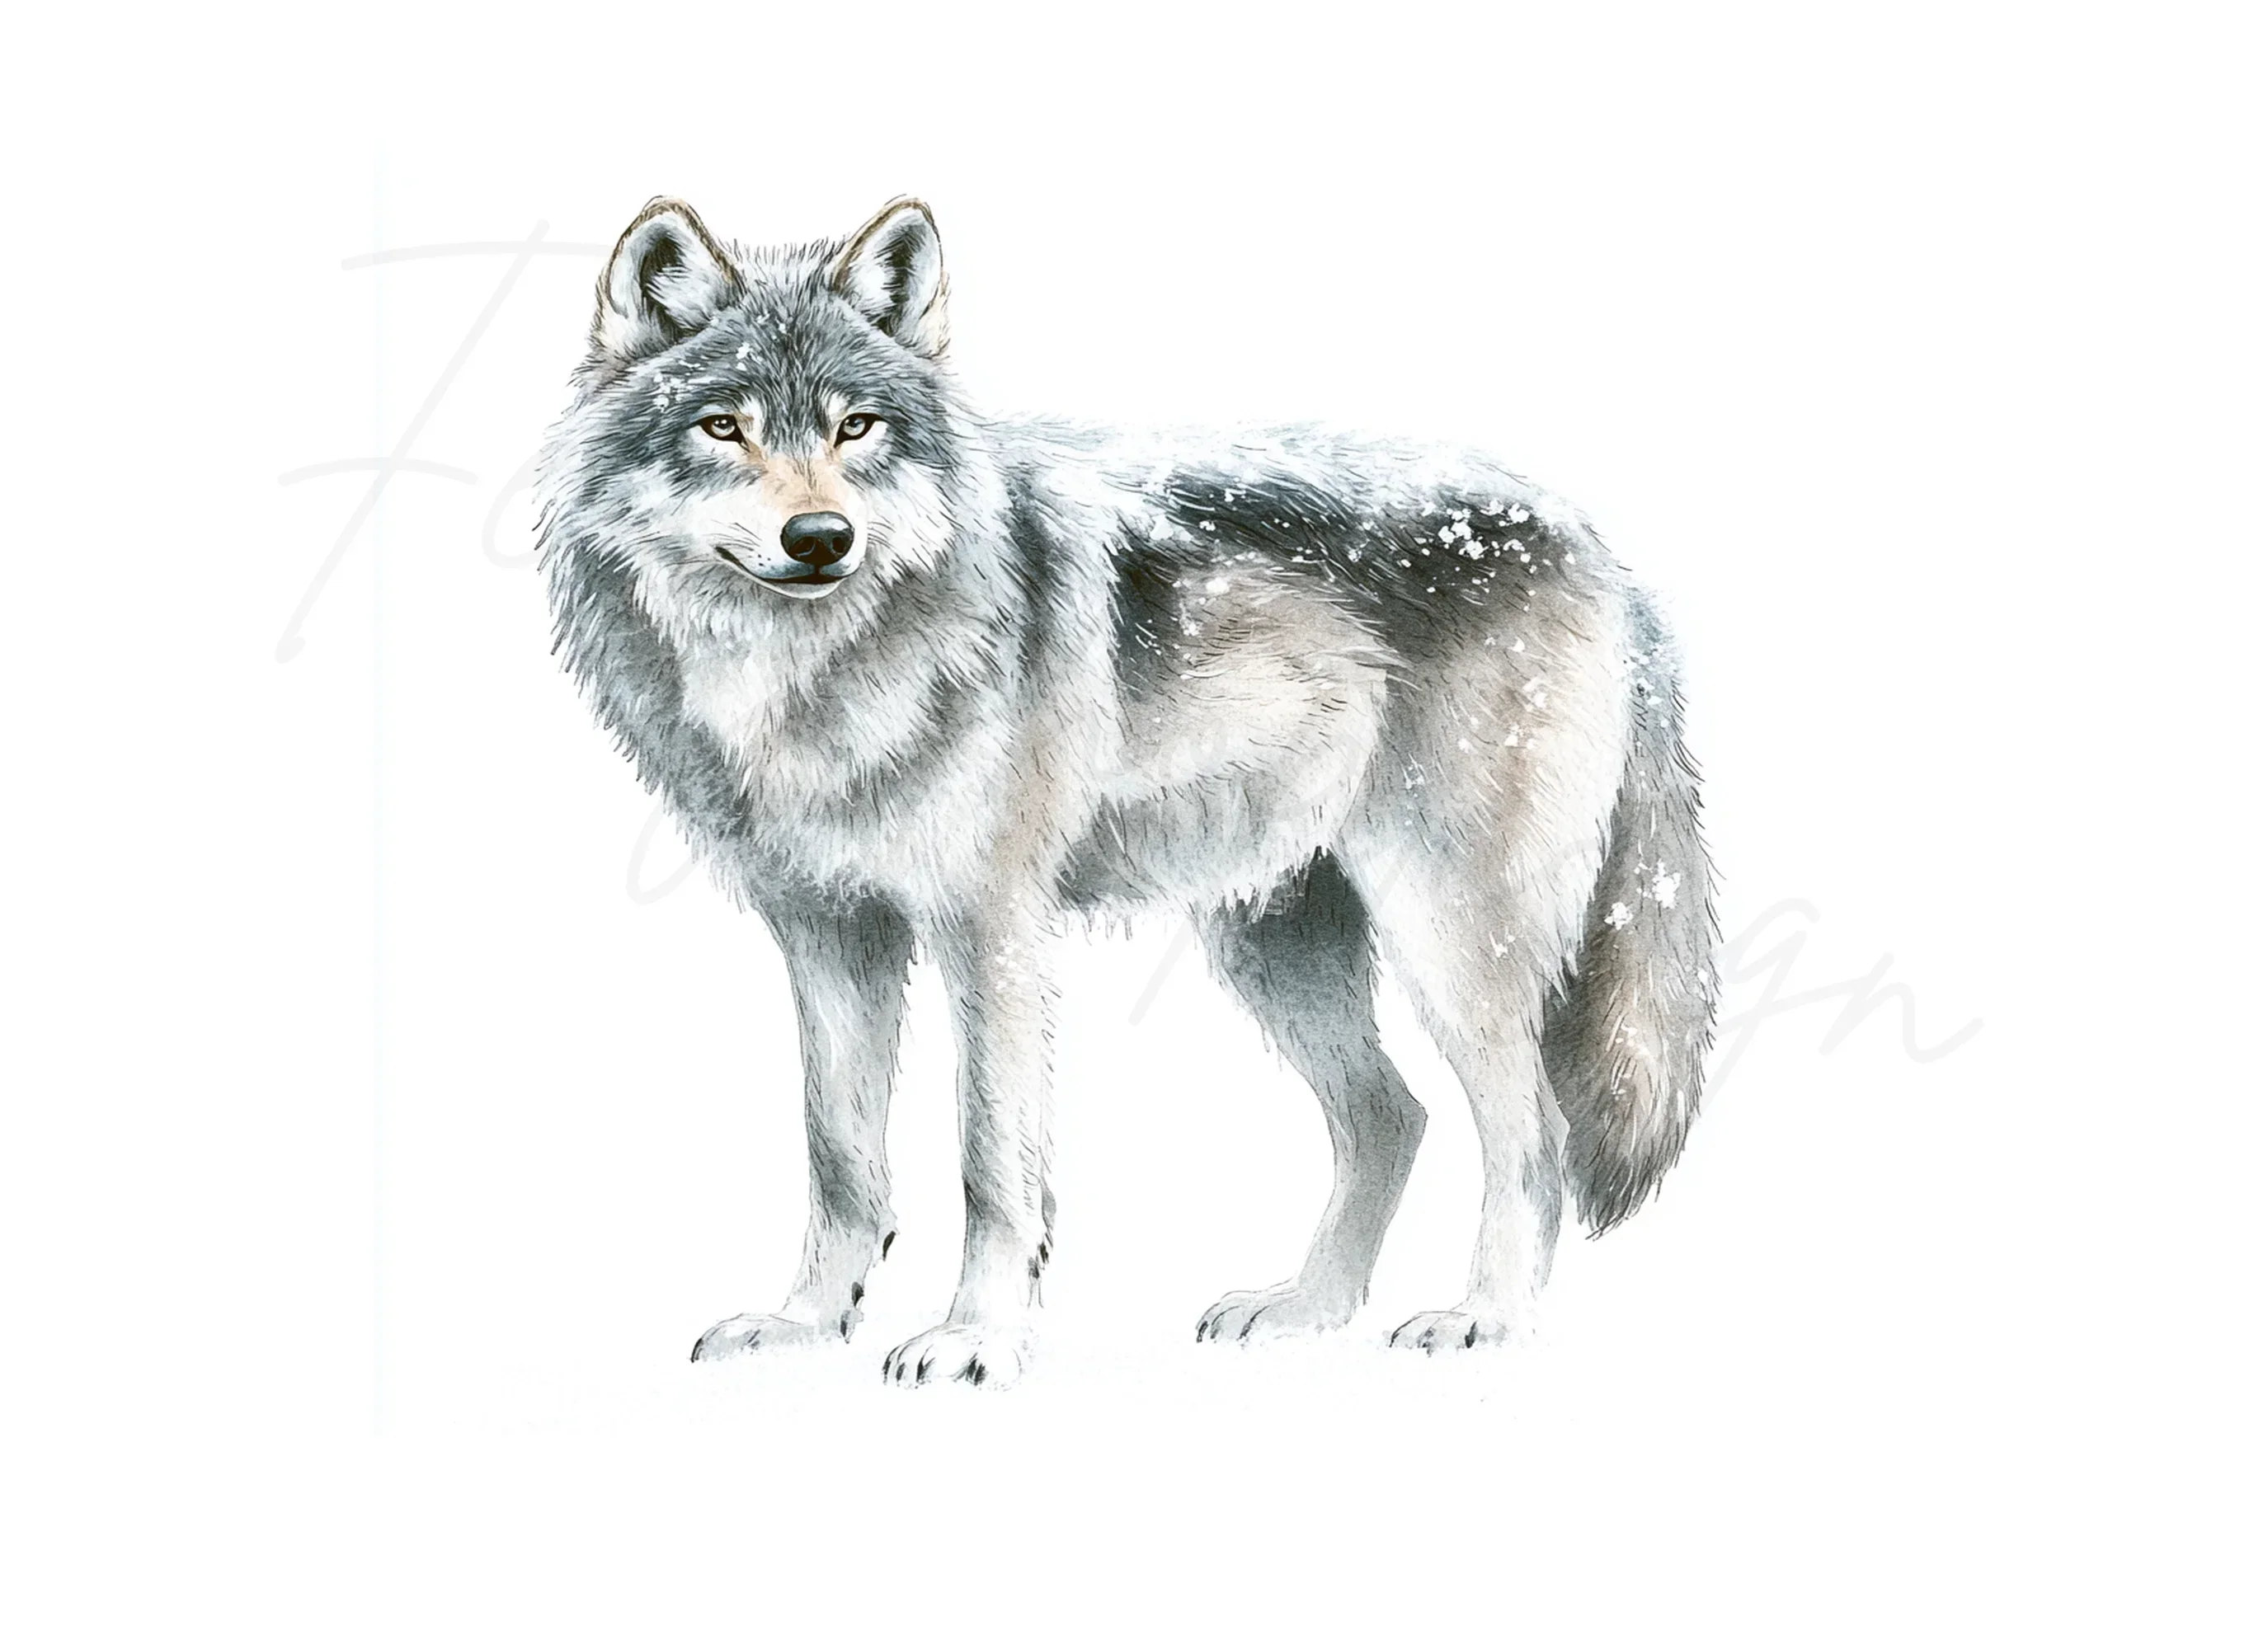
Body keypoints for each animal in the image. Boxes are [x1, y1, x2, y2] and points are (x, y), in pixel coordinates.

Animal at [535, 196, 1719, 1388]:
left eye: (856, 427)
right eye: (722, 428)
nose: (821, 538)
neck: (805, 677)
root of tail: (1601, 552)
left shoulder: (989, 931)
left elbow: (990, 1163)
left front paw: (976, 1337)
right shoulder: (827, 931)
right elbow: (838, 1155)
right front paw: (806, 1323)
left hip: (1442, 936)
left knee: (1535, 1136)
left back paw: (1486, 1319)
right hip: (1272, 944)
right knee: (1392, 1118)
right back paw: (1305, 1309)